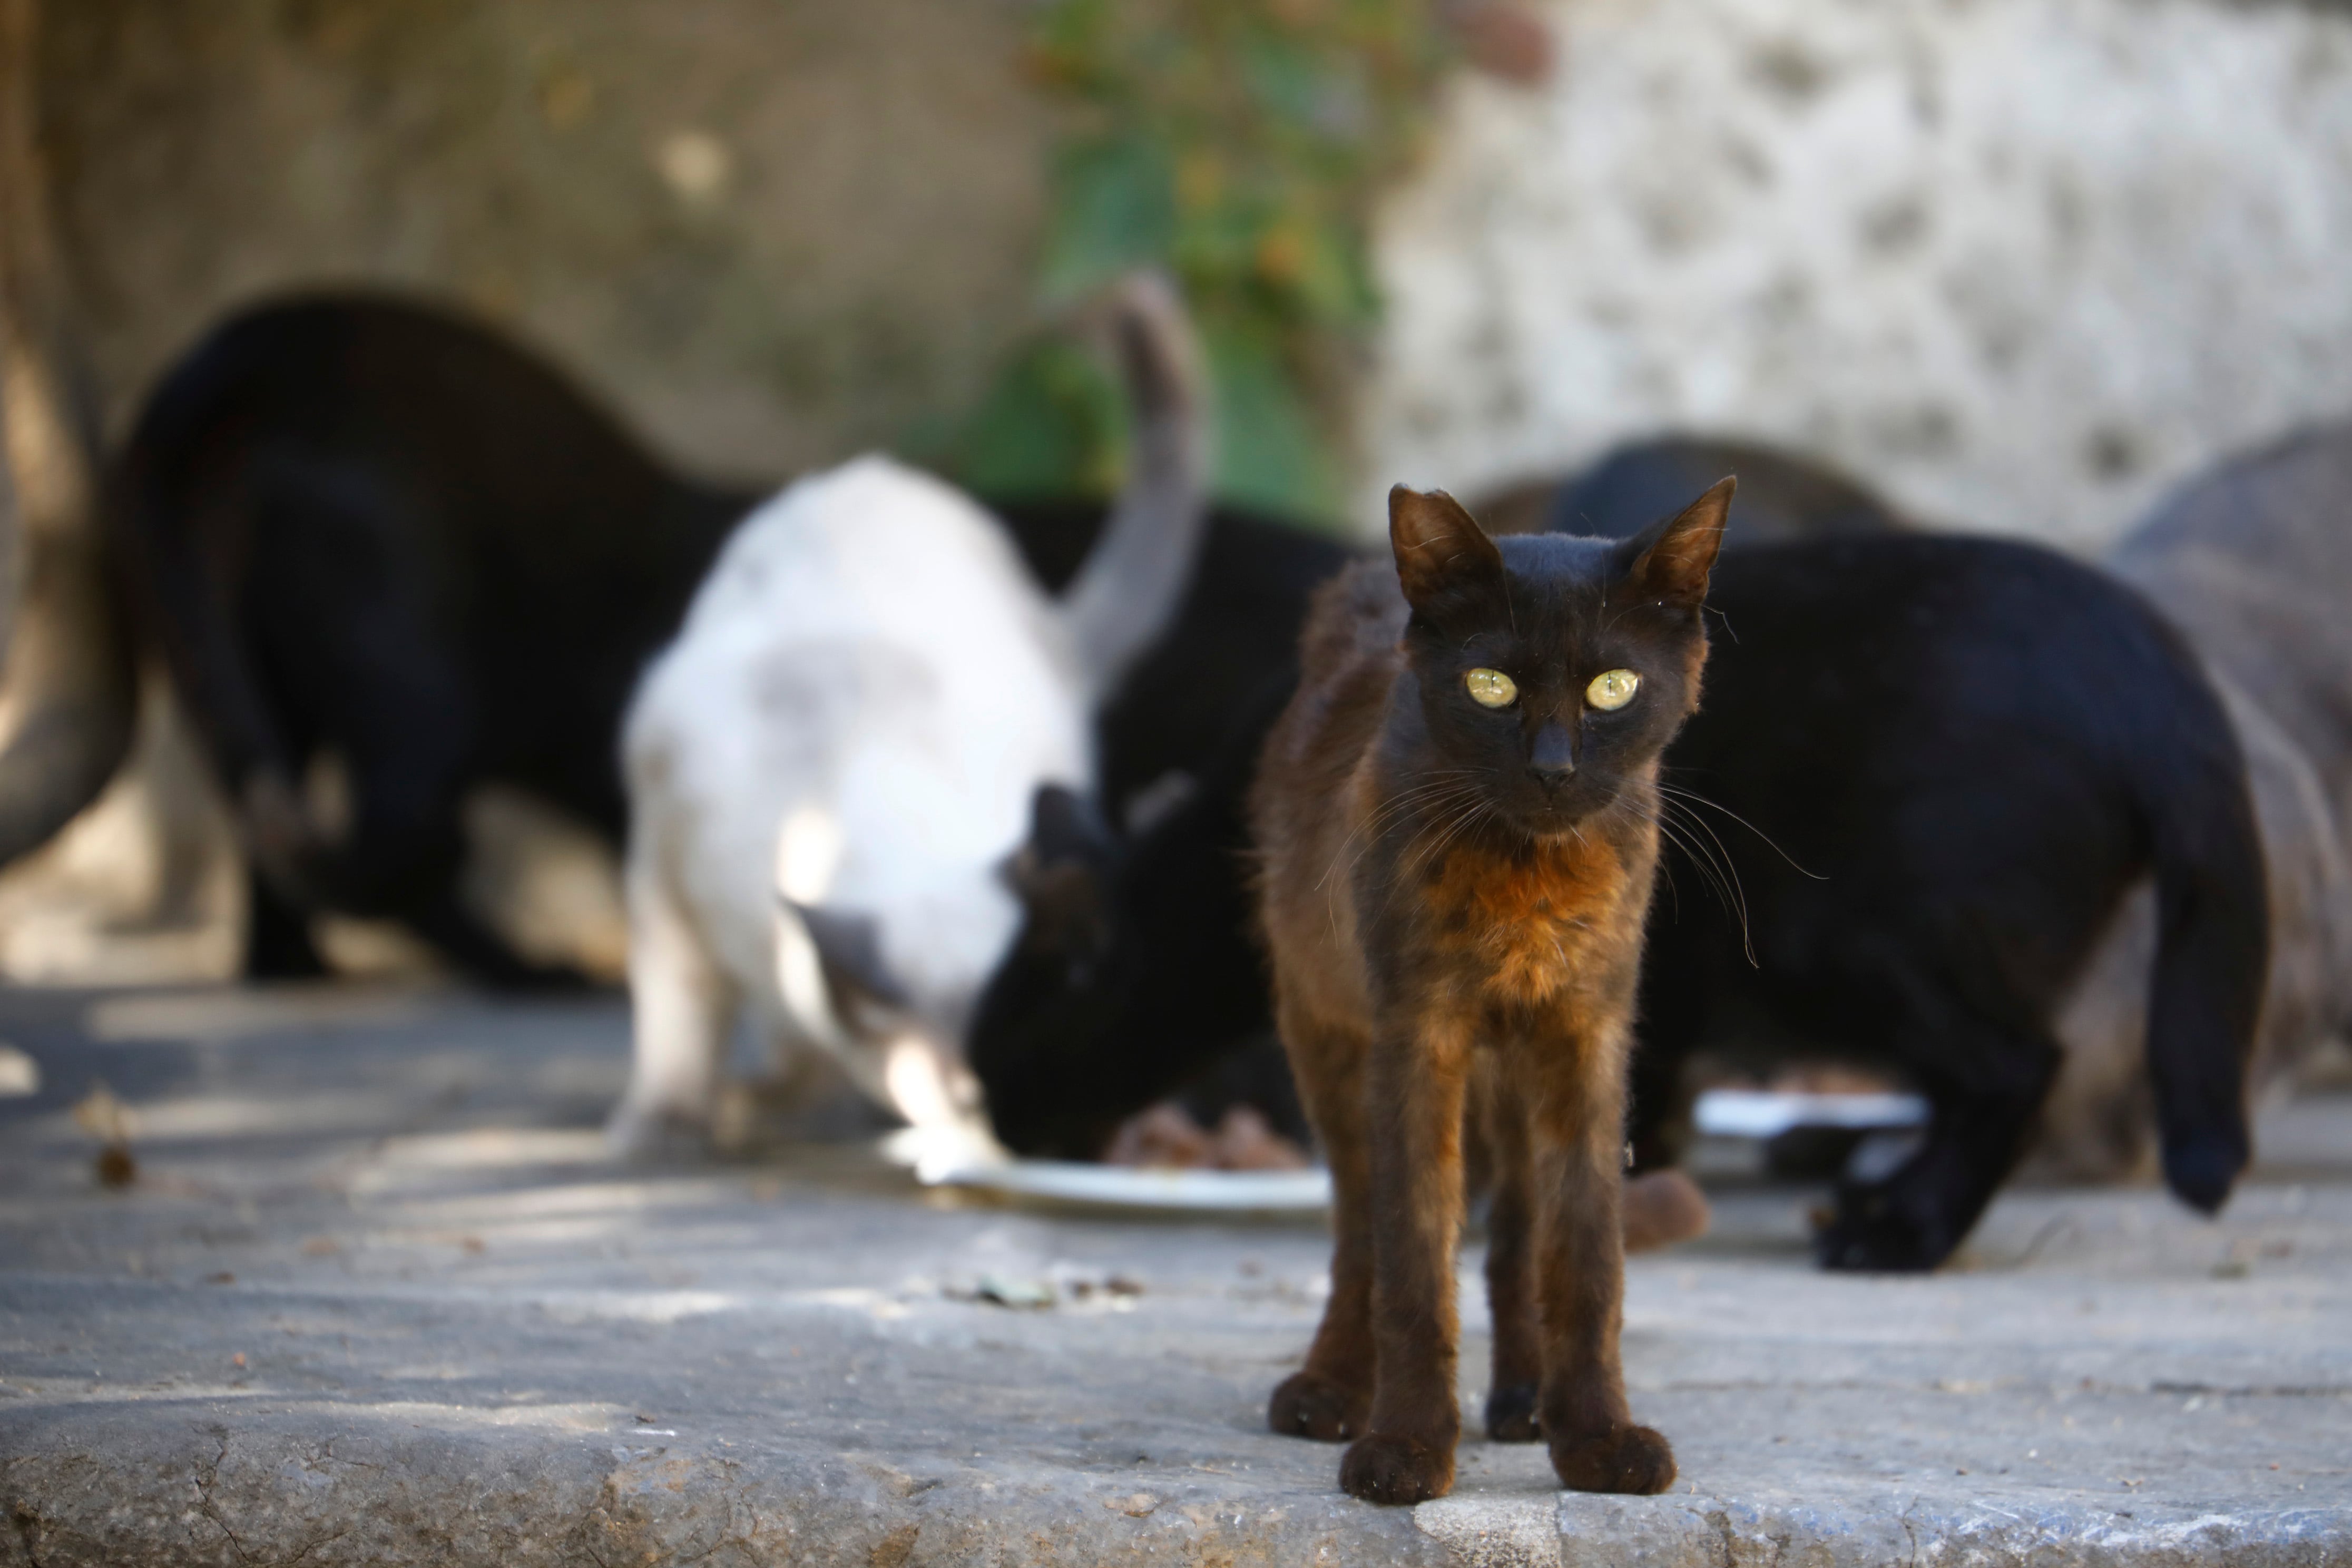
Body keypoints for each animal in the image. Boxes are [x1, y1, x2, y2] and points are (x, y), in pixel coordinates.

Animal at [974, 439, 2258, 1279]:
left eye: (1010, 1037)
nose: (989, 1111)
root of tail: (2150, 663)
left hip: (1853, 939)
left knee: (2013, 1068)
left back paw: (1896, 1230)